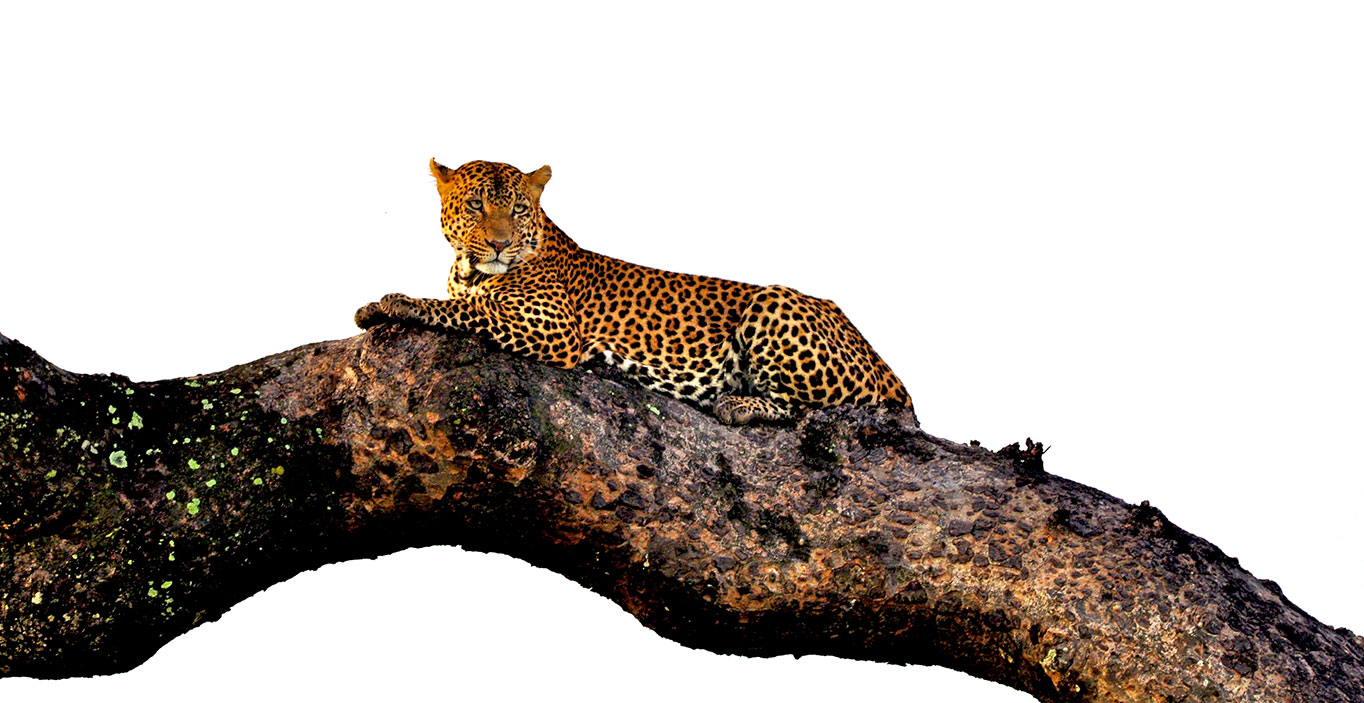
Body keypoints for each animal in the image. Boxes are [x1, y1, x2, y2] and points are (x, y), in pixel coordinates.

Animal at [355, 159, 911, 425]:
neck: (468, 270)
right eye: (475, 205)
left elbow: (467, 311)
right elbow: (466, 304)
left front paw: (395, 302)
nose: (498, 243)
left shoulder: (551, 328)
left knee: (812, 408)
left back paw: (738, 404)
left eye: (516, 209)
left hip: (774, 301)